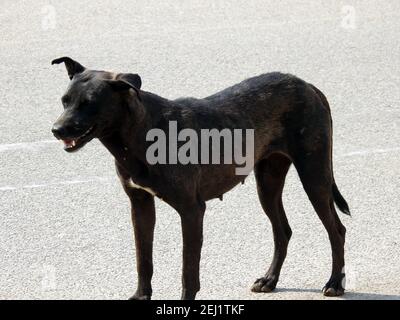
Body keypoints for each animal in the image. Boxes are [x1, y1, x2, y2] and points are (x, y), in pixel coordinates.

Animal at [50, 57, 350, 300]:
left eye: (89, 104)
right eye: (64, 100)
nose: (56, 129)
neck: (141, 132)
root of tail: (307, 85)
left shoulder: (192, 210)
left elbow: (188, 270)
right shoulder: (140, 204)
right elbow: (143, 259)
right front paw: (140, 296)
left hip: (314, 176)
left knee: (336, 229)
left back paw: (335, 282)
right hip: (268, 182)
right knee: (283, 231)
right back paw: (270, 279)